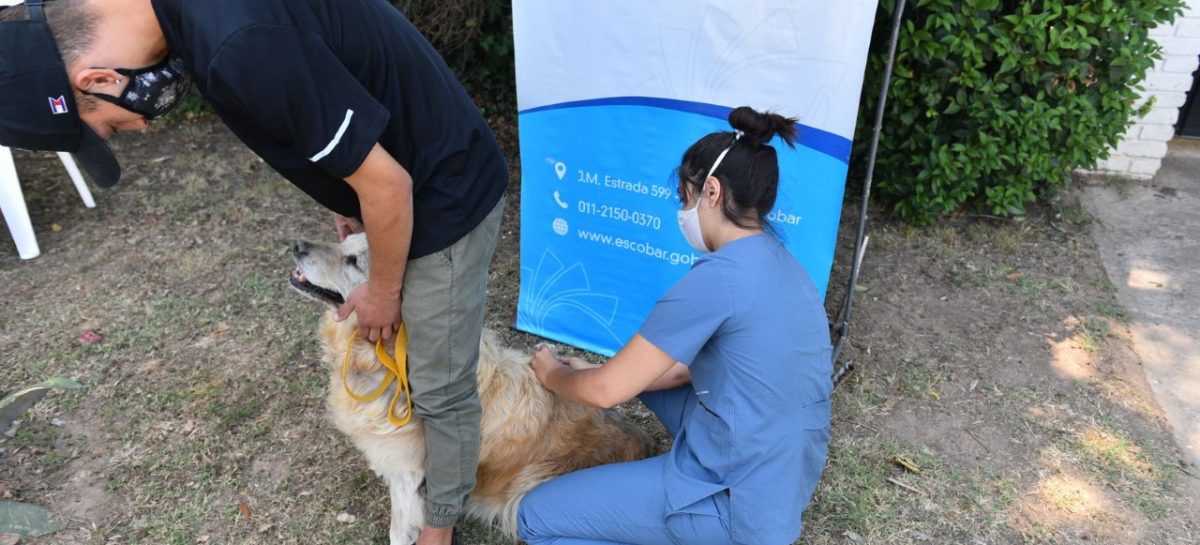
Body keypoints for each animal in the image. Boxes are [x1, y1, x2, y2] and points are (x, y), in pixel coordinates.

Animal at [286, 234, 652, 545]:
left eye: (353, 261)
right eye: (343, 240)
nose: (298, 246)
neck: (383, 359)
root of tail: (644, 445)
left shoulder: (407, 474)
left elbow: (399, 530)